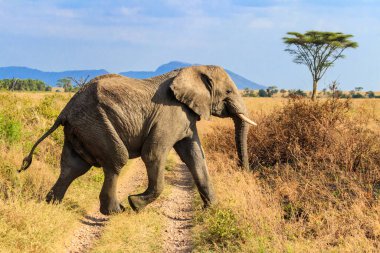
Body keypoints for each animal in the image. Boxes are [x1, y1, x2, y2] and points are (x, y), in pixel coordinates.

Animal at [19, 65, 256, 215]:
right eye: (228, 91)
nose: (245, 173)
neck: (194, 68)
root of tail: (65, 110)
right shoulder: (170, 113)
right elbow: (153, 154)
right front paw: (135, 203)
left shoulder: (186, 116)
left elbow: (195, 156)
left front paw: (212, 209)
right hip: (96, 123)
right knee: (116, 161)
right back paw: (116, 211)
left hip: (81, 129)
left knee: (73, 167)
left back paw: (51, 204)